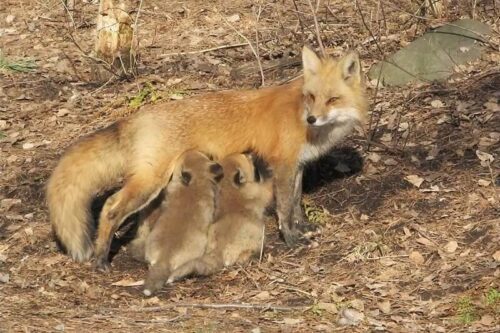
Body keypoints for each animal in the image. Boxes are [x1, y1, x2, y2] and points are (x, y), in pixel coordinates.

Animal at [47, 45, 368, 268]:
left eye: (332, 99)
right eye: (311, 97)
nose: (313, 118)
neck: (304, 122)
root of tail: (139, 116)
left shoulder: (296, 166)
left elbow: (297, 203)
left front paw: (303, 228)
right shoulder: (283, 165)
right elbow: (285, 208)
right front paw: (290, 238)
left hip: (156, 184)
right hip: (151, 181)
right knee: (111, 207)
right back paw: (101, 258)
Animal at [166, 152, 272, 284]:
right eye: (245, 157)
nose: (250, 154)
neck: (229, 185)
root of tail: (219, 250)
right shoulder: (260, 193)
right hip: (259, 237)